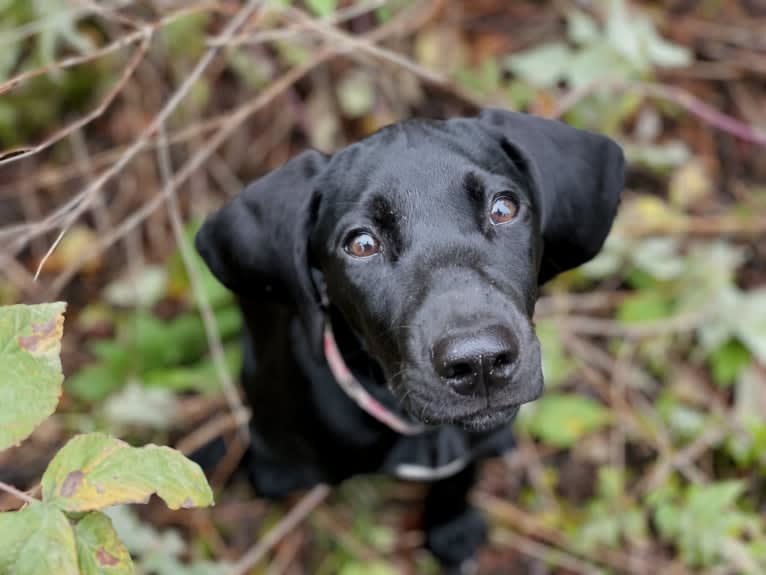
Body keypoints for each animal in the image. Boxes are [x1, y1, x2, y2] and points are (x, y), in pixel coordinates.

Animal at [196, 109, 624, 572]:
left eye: (504, 208)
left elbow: (459, 476)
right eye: (362, 244)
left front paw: (450, 527)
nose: (479, 363)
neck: (419, 431)